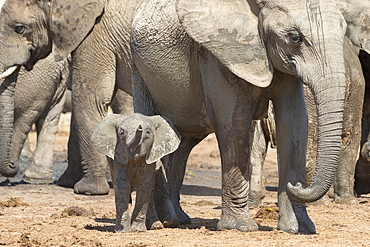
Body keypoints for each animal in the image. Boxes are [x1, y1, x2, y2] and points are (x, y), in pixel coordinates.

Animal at [0, 0, 143, 195]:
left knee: (26, 116)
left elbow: (89, 100)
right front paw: (67, 183)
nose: (13, 166)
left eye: (19, 28)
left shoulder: (96, 35)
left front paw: (89, 190)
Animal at [132, 0, 348, 233]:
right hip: (139, 71)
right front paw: (240, 226)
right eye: (295, 37)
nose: (296, 185)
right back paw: (155, 224)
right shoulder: (217, 54)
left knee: (183, 144)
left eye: (344, 31)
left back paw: (176, 220)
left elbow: (295, 122)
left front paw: (299, 229)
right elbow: (235, 123)